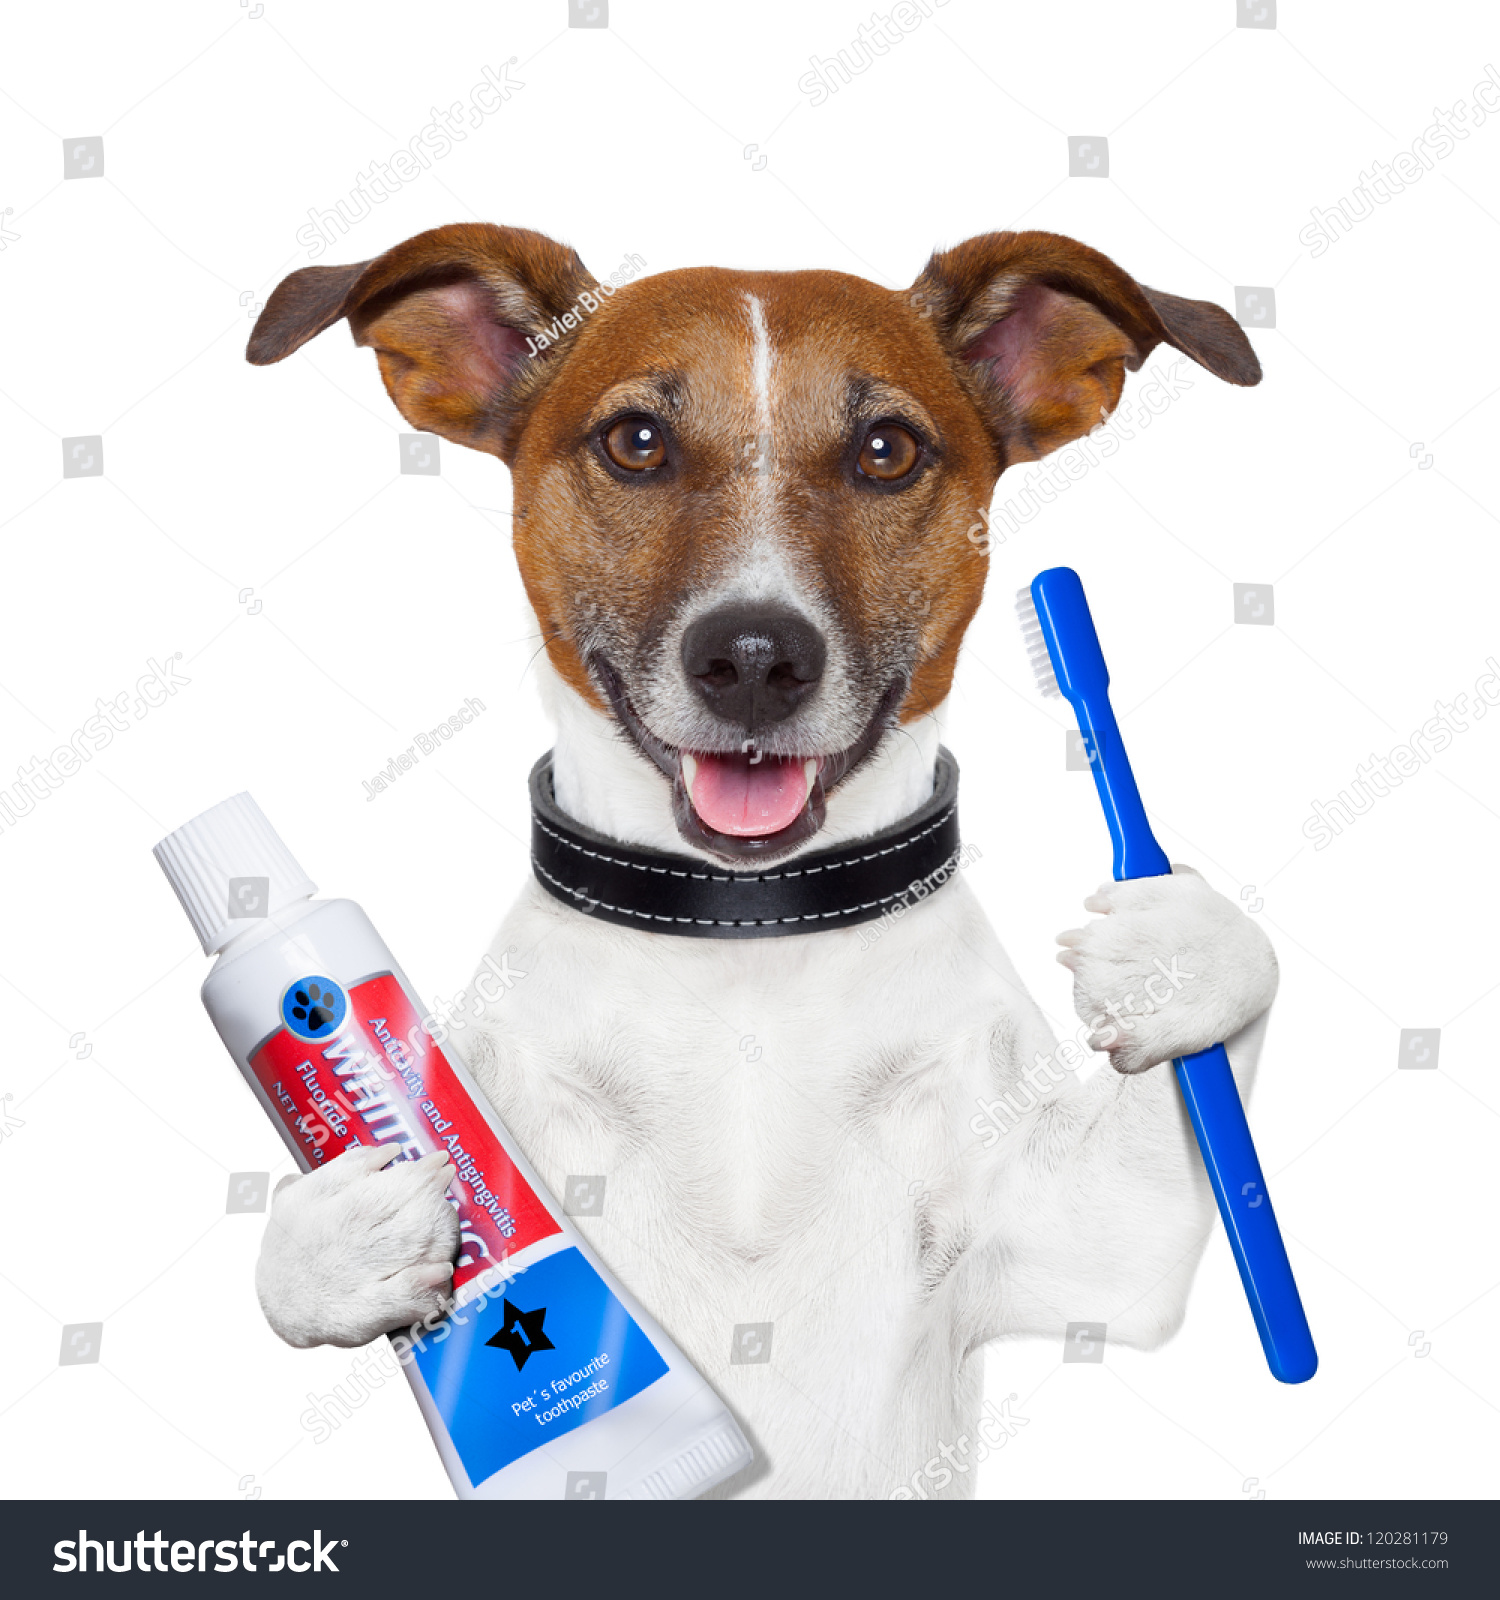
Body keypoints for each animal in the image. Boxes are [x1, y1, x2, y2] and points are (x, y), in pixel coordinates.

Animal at [246, 225, 1272, 1497]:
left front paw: (1178, 949)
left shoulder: (1097, 1240)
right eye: (636, 441)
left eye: (888, 450)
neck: (747, 940)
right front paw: (354, 1222)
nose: (751, 655)